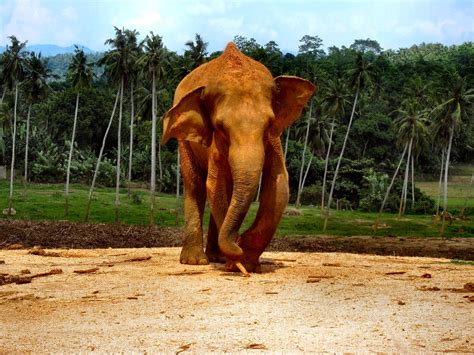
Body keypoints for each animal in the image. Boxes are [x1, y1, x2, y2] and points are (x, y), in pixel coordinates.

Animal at [161, 42, 316, 276]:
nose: (238, 243)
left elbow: (279, 185)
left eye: (269, 123)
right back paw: (195, 261)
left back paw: (216, 257)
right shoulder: (215, 143)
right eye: (220, 126)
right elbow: (215, 185)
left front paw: (246, 262)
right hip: (183, 140)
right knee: (195, 183)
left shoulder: (274, 140)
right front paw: (237, 261)